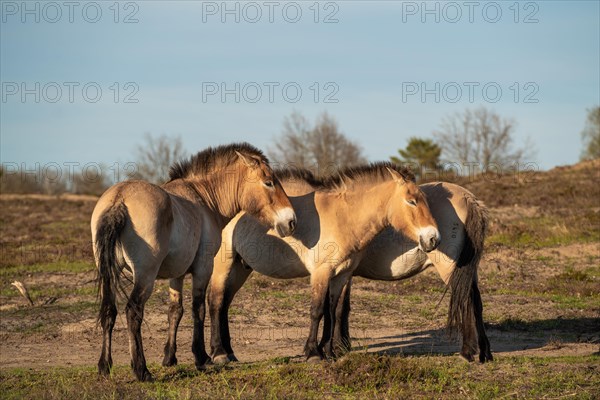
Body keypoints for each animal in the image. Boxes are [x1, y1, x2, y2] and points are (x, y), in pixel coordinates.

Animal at [91, 144, 296, 382]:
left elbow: (175, 311)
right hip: (145, 277)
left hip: (109, 273)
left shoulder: (177, 274)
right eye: (268, 182)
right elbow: (198, 309)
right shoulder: (203, 269)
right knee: (133, 312)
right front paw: (202, 357)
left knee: (109, 311)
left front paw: (169, 358)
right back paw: (142, 370)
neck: (204, 199)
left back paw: (104, 366)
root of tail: (119, 199)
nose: (291, 221)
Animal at [209, 168, 490, 362]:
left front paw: (329, 349)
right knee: (218, 302)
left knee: (470, 300)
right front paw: (325, 350)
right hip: (230, 265)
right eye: (412, 201)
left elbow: (333, 309)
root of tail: (470, 199)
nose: (433, 238)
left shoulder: (342, 272)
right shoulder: (330, 272)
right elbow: (328, 309)